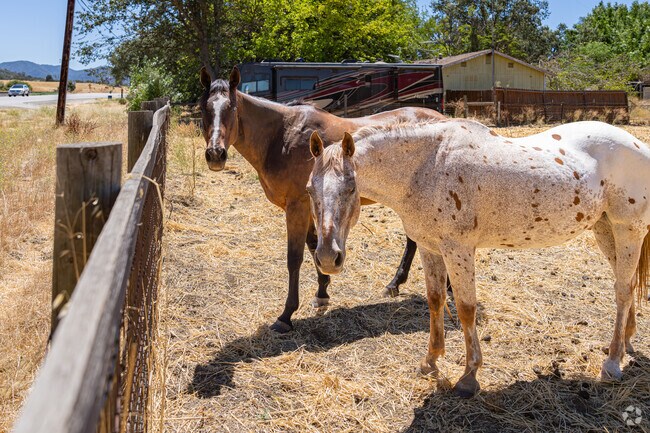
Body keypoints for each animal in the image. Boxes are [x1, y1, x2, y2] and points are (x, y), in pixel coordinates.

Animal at [199, 67, 446, 332]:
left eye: (232, 109)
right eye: (204, 109)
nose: (215, 154)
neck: (281, 137)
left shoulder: (296, 207)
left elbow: (294, 257)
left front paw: (286, 315)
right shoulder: (308, 207)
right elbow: (313, 245)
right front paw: (322, 293)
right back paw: (395, 284)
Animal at [307, 119, 649, 397]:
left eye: (351, 187)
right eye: (310, 189)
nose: (327, 258)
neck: (427, 167)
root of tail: (638, 145)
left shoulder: (458, 249)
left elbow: (466, 308)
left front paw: (469, 377)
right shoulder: (431, 249)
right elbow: (435, 300)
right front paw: (430, 361)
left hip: (628, 230)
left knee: (622, 291)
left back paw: (612, 363)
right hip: (605, 229)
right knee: (629, 284)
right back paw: (626, 345)